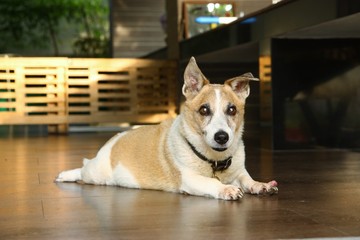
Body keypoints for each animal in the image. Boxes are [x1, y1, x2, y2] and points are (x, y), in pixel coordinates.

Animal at [54, 56, 278, 201]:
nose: (222, 137)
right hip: (96, 174)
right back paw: (65, 175)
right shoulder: (189, 179)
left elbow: (246, 179)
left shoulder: (239, 171)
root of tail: (114, 139)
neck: (214, 160)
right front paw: (226, 189)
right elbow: (212, 183)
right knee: (83, 168)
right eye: (204, 110)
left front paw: (260, 185)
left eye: (232, 110)